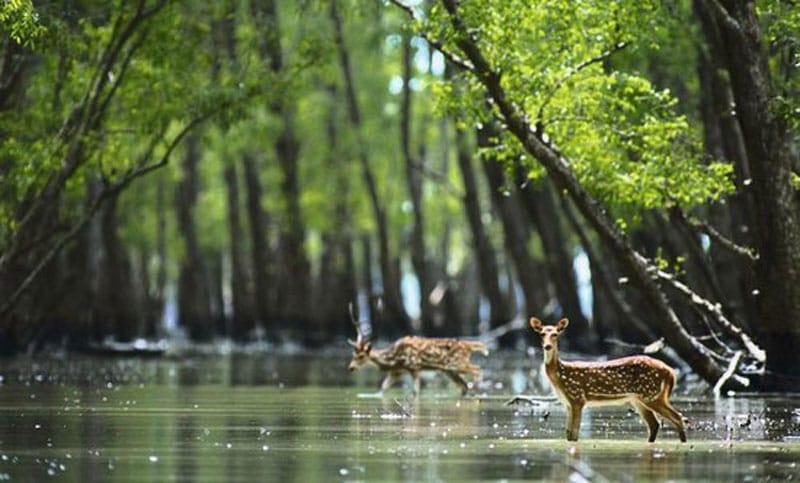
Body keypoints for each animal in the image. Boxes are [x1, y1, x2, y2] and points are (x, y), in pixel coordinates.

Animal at [348, 306, 488, 398]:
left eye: (361, 356)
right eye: (353, 355)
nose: (351, 367)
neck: (393, 359)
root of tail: (469, 345)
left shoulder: (414, 367)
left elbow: (415, 392)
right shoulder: (396, 372)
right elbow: (382, 389)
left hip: (456, 363)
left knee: (477, 369)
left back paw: (476, 390)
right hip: (449, 370)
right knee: (464, 385)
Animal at [532, 318, 688, 442]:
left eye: (555, 334)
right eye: (541, 333)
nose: (547, 346)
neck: (560, 376)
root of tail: (670, 371)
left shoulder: (577, 398)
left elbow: (574, 434)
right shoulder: (567, 403)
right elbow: (569, 434)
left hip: (652, 394)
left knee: (677, 417)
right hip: (640, 399)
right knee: (655, 424)